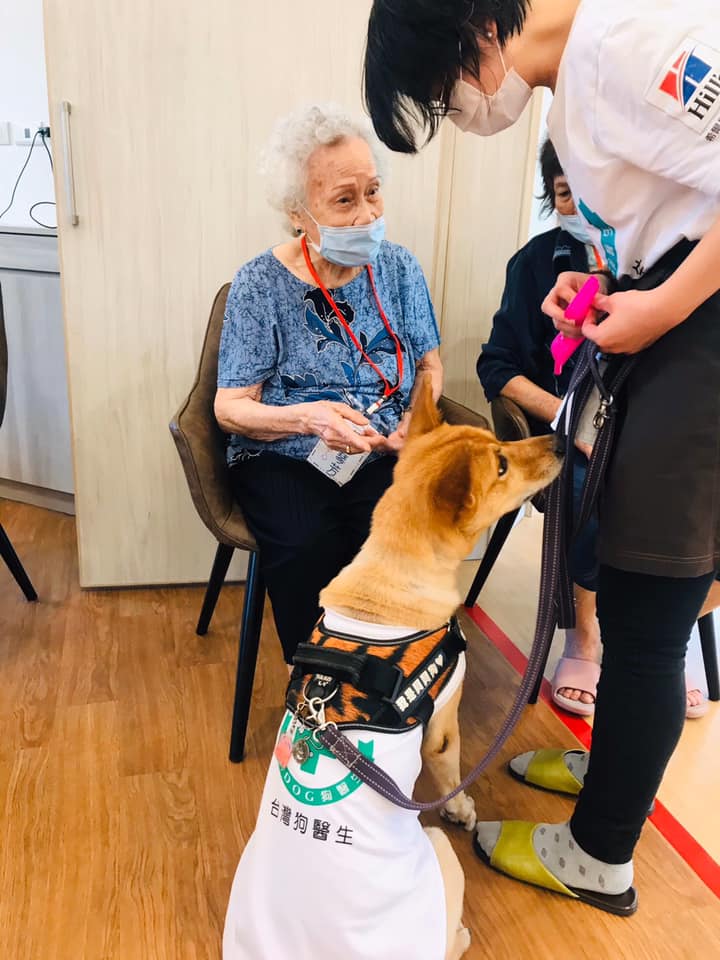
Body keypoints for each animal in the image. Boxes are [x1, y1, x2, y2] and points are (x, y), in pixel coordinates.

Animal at [225, 378, 564, 960]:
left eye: (498, 444)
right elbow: (451, 773)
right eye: (501, 463)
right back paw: (461, 931)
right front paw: (462, 808)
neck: (389, 575)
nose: (562, 441)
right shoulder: (444, 725)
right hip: (440, 855)